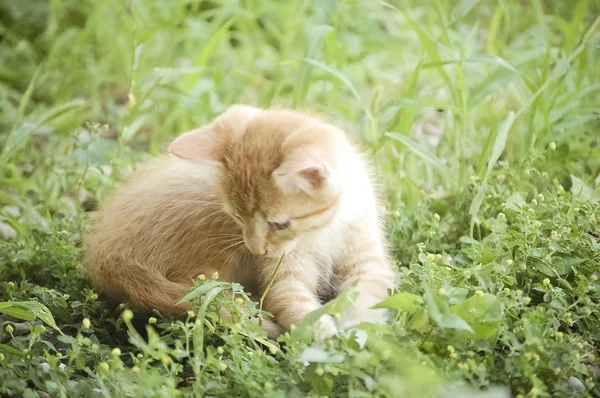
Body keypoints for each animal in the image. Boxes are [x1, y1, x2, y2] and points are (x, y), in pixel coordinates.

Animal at [83, 105, 394, 338]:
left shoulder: (368, 258)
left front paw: (355, 330)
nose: (257, 250)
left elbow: (368, 294)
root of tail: (104, 254)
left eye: (279, 224)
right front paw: (324, 335)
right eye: (236, 216)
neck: (321, 231)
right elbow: (291, 301)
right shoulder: (282, 276)